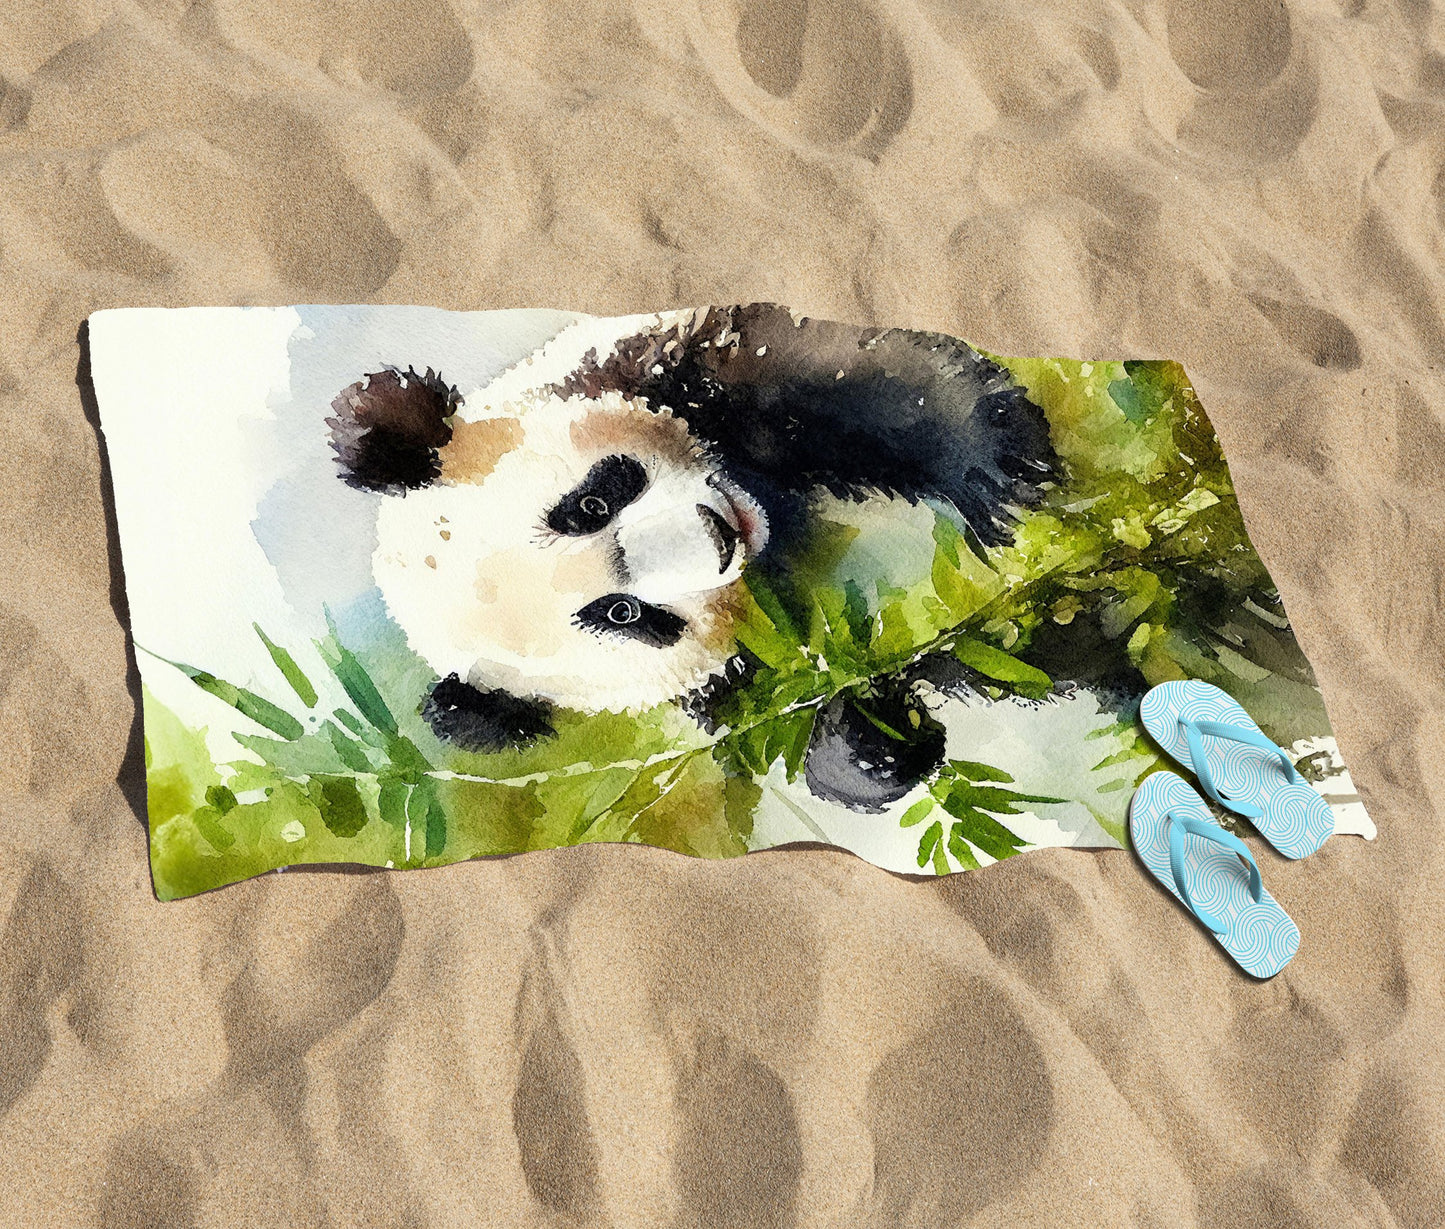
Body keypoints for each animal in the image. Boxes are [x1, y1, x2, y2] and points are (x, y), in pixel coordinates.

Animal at [327, 303, 1058, 811]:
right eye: (622, 613)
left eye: (589, 505)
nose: (718, 535)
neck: (776, 526)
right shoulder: (754, 666)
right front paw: (864, 749)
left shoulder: (669, 361)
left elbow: (849, 379)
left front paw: (991, 463)